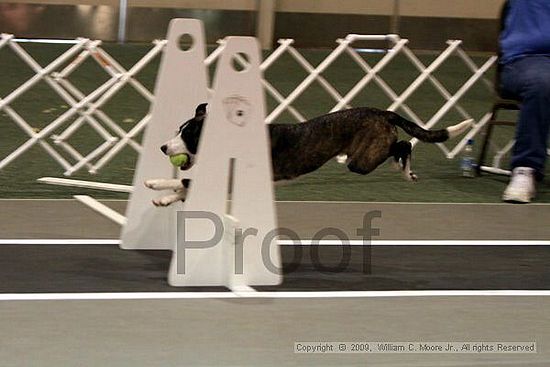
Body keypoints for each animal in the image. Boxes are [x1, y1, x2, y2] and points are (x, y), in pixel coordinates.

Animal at [146, 103, 474, 207]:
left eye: (187, 135)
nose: (163, 148)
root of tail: (383, 112)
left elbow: (184, 182)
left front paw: (155, 186)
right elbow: (185, 186)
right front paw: (164, 197)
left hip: (362, 160)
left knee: (403, 145)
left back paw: (405, 169)